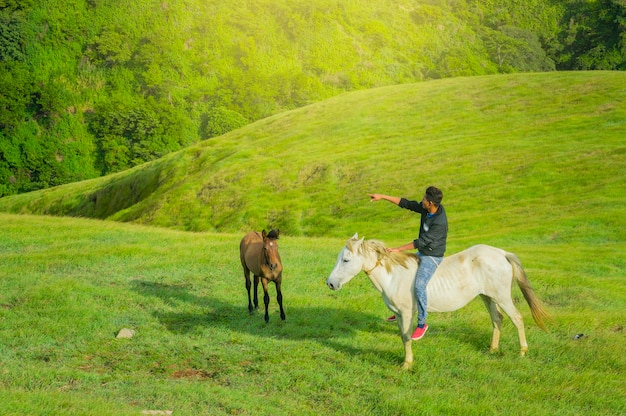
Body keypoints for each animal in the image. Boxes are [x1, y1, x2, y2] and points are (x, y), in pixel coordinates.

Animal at [324, 234, 548, 368]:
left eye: (346, 259)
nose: (330, 283)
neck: (394, 275)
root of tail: (501, 253)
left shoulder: (407, 313)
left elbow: (407, 337)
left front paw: (407, 364)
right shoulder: (398, 314)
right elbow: (402, 337)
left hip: (501, 296)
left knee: (517, 318)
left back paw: (522, 351)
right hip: (487, 296)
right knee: (497, 319)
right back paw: (492, 349)